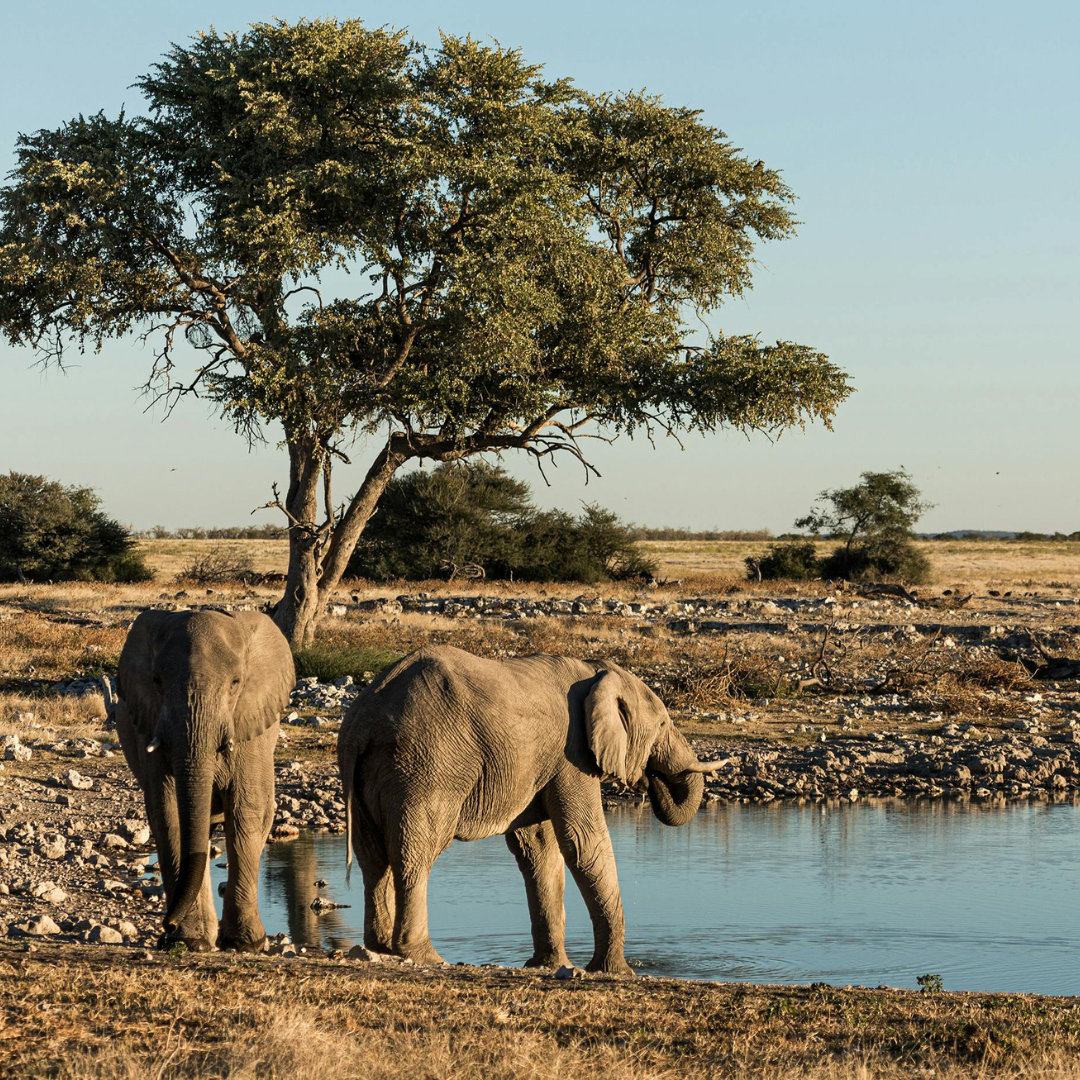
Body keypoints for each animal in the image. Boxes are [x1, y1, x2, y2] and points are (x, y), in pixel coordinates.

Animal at [112, 608, 294, 951]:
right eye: (157, 682)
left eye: (236, 683)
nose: (166, 925)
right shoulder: (152, 726)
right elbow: (169, 814)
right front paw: (190, 940)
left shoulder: (250, 729)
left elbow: (246, 812)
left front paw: (246, 944)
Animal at [337, 645, 725, 974]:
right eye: (662, 725)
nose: (653, 781)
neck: (596, 671)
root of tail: (363, 719)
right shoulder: (572, 754)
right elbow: (583, 842)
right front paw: (617, 972)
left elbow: (538, 848)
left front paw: (550, 966)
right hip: (426, 766)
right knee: (416, 853)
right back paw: (424, 956)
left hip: (366, 774)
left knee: (372, 858)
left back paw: (380, 949)